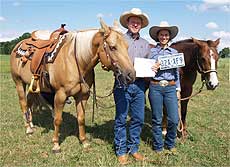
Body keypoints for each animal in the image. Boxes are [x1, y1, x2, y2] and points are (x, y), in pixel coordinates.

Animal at [10, 19, 136, 153]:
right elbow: (58, 120)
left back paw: (31, 125)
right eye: (112, 47)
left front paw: (84, 142)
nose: (131, 75)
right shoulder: (60, 95)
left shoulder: (83, 95)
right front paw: (56, 145)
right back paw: (28, 129)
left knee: (29, 102)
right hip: (18, 82)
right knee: (23, 104)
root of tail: (18, 45)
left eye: (127, 46)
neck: (77, 61)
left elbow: (81, 118)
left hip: (32, 85)